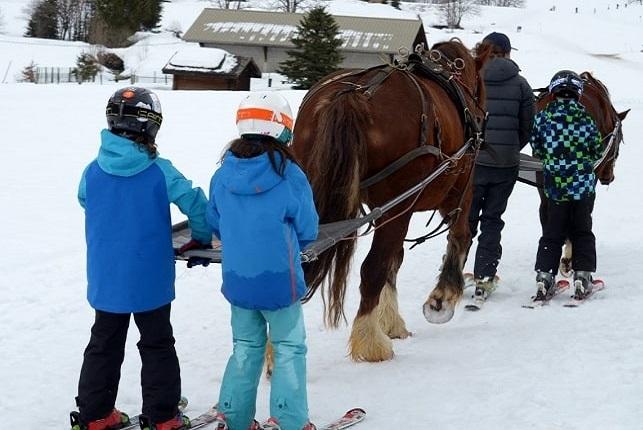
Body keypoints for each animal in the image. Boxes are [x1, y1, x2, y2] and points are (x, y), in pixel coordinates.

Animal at [292, 39, 494, 362]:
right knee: (372, 267)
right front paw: (442, 299)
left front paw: (390, 320)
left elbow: (395, 259)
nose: (482, 117)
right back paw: (370, 343)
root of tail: (354, 95)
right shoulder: (459, 189)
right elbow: (460, 236)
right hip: (397, 205)